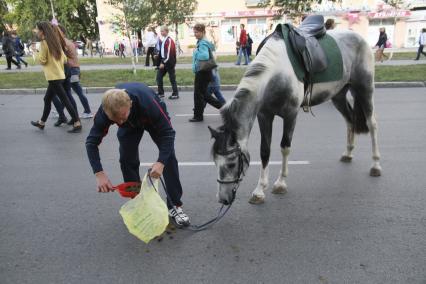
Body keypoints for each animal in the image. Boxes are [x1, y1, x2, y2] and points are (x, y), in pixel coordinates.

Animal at [210, 27, 382, 205]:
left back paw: (375, 165)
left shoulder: (291, 115)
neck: (277, 72)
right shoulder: (264, 115)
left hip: (364, 89)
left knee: (372, 124)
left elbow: (285, 147)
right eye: (215, 161)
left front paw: (280, 183)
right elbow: (265, 150)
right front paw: (259, 190)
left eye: (231, 164)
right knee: (350, 120)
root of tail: (359, 37)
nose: (223, 199)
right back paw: (348, 154)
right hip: (338, 95)